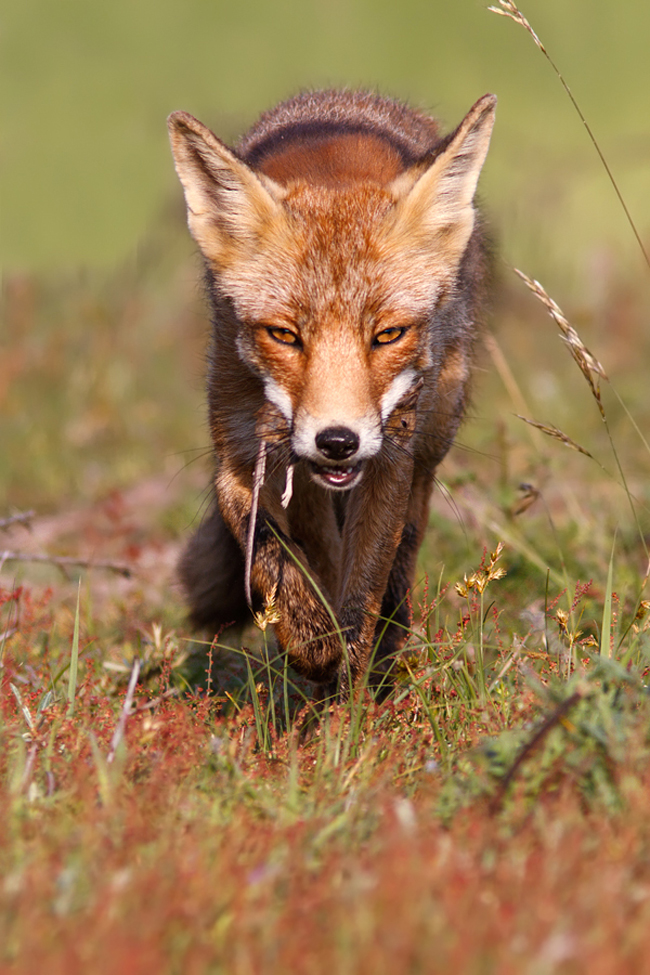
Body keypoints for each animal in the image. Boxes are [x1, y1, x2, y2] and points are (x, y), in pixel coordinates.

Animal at [168, 88, 496, 698]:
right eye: (284, 335)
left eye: (388, 334)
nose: (337, 441)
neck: (331, 163)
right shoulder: (240, 454)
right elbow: (274, 557)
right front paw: (315, 650)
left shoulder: (391, 460)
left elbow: (361, 594)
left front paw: (351, 703)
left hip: (428, 448)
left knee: (397, 567)